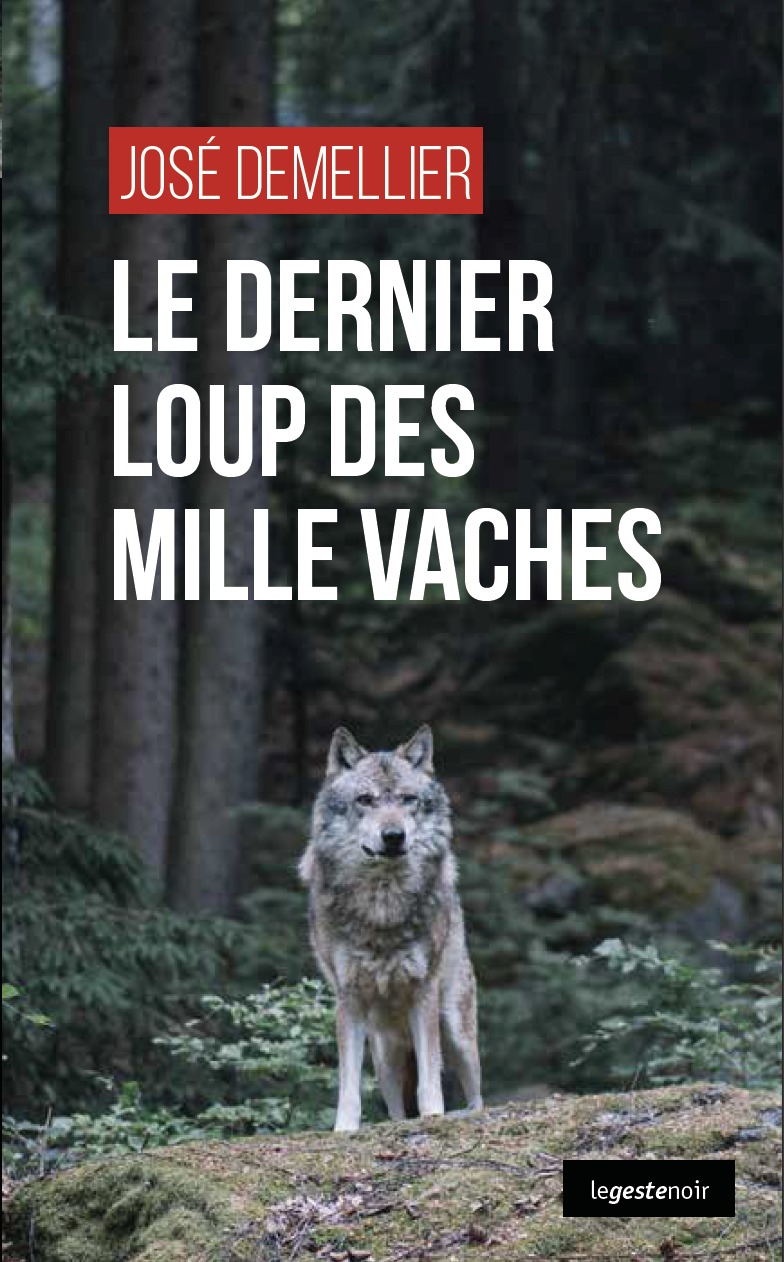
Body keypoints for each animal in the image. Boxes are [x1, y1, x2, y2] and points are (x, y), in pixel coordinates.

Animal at [299, 724, 482, 1132]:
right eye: (365, 800)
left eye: (408, 799)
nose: (394, 836)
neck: (382, 903)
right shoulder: (348, 998)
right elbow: (348, 1085)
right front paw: (344, 1130)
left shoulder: (424, 991)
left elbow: (430, 1079)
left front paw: (433, 1117)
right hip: (384, 1056)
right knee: (395, 1108)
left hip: (456, 1032)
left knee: (476, 1094)